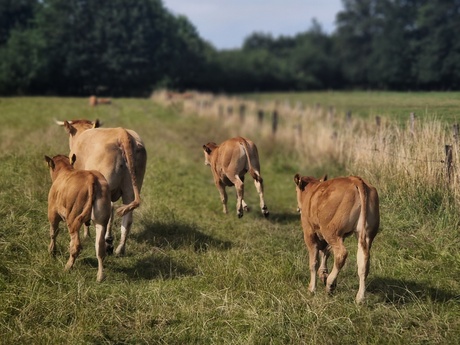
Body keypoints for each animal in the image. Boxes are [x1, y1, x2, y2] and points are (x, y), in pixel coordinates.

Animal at [55, 119, 147, 255]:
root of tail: (122, 134)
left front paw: (86, 234)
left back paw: (107, 243)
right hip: (131, 189)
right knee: (127, 218)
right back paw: (119, 249)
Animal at [292, 173, 380, 302]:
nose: (298, 209)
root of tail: (355, 180)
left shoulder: (309, 232)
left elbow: (314, 262)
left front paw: (312, 288)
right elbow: (326, 252)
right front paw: (323, 274)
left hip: (331, 231)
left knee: (341, 254)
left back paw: (330, 284)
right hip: (365, 234)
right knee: (363, 261)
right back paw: (359, 297)